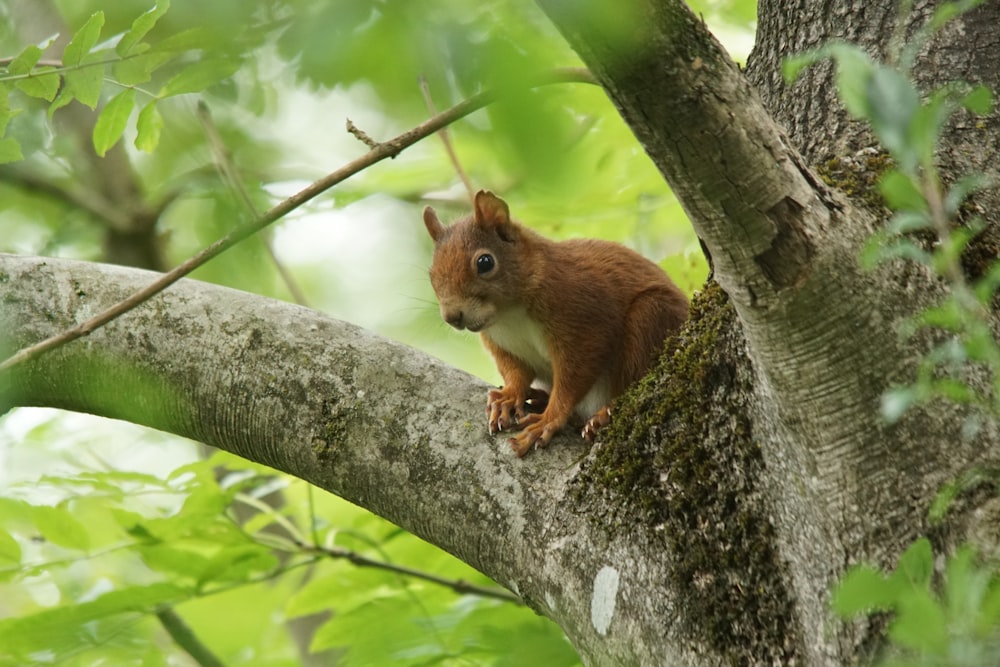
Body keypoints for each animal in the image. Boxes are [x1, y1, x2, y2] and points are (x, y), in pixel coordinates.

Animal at [422, 190, 688, 456]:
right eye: (431, 274)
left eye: (485, 262)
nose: (452, 317)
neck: (509, 315)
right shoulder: (502, 344)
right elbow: (515, 371)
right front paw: (508, 397)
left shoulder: (581, 320)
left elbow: (574, 377)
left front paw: (548, 420)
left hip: (651, 316)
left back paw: (603, 415)